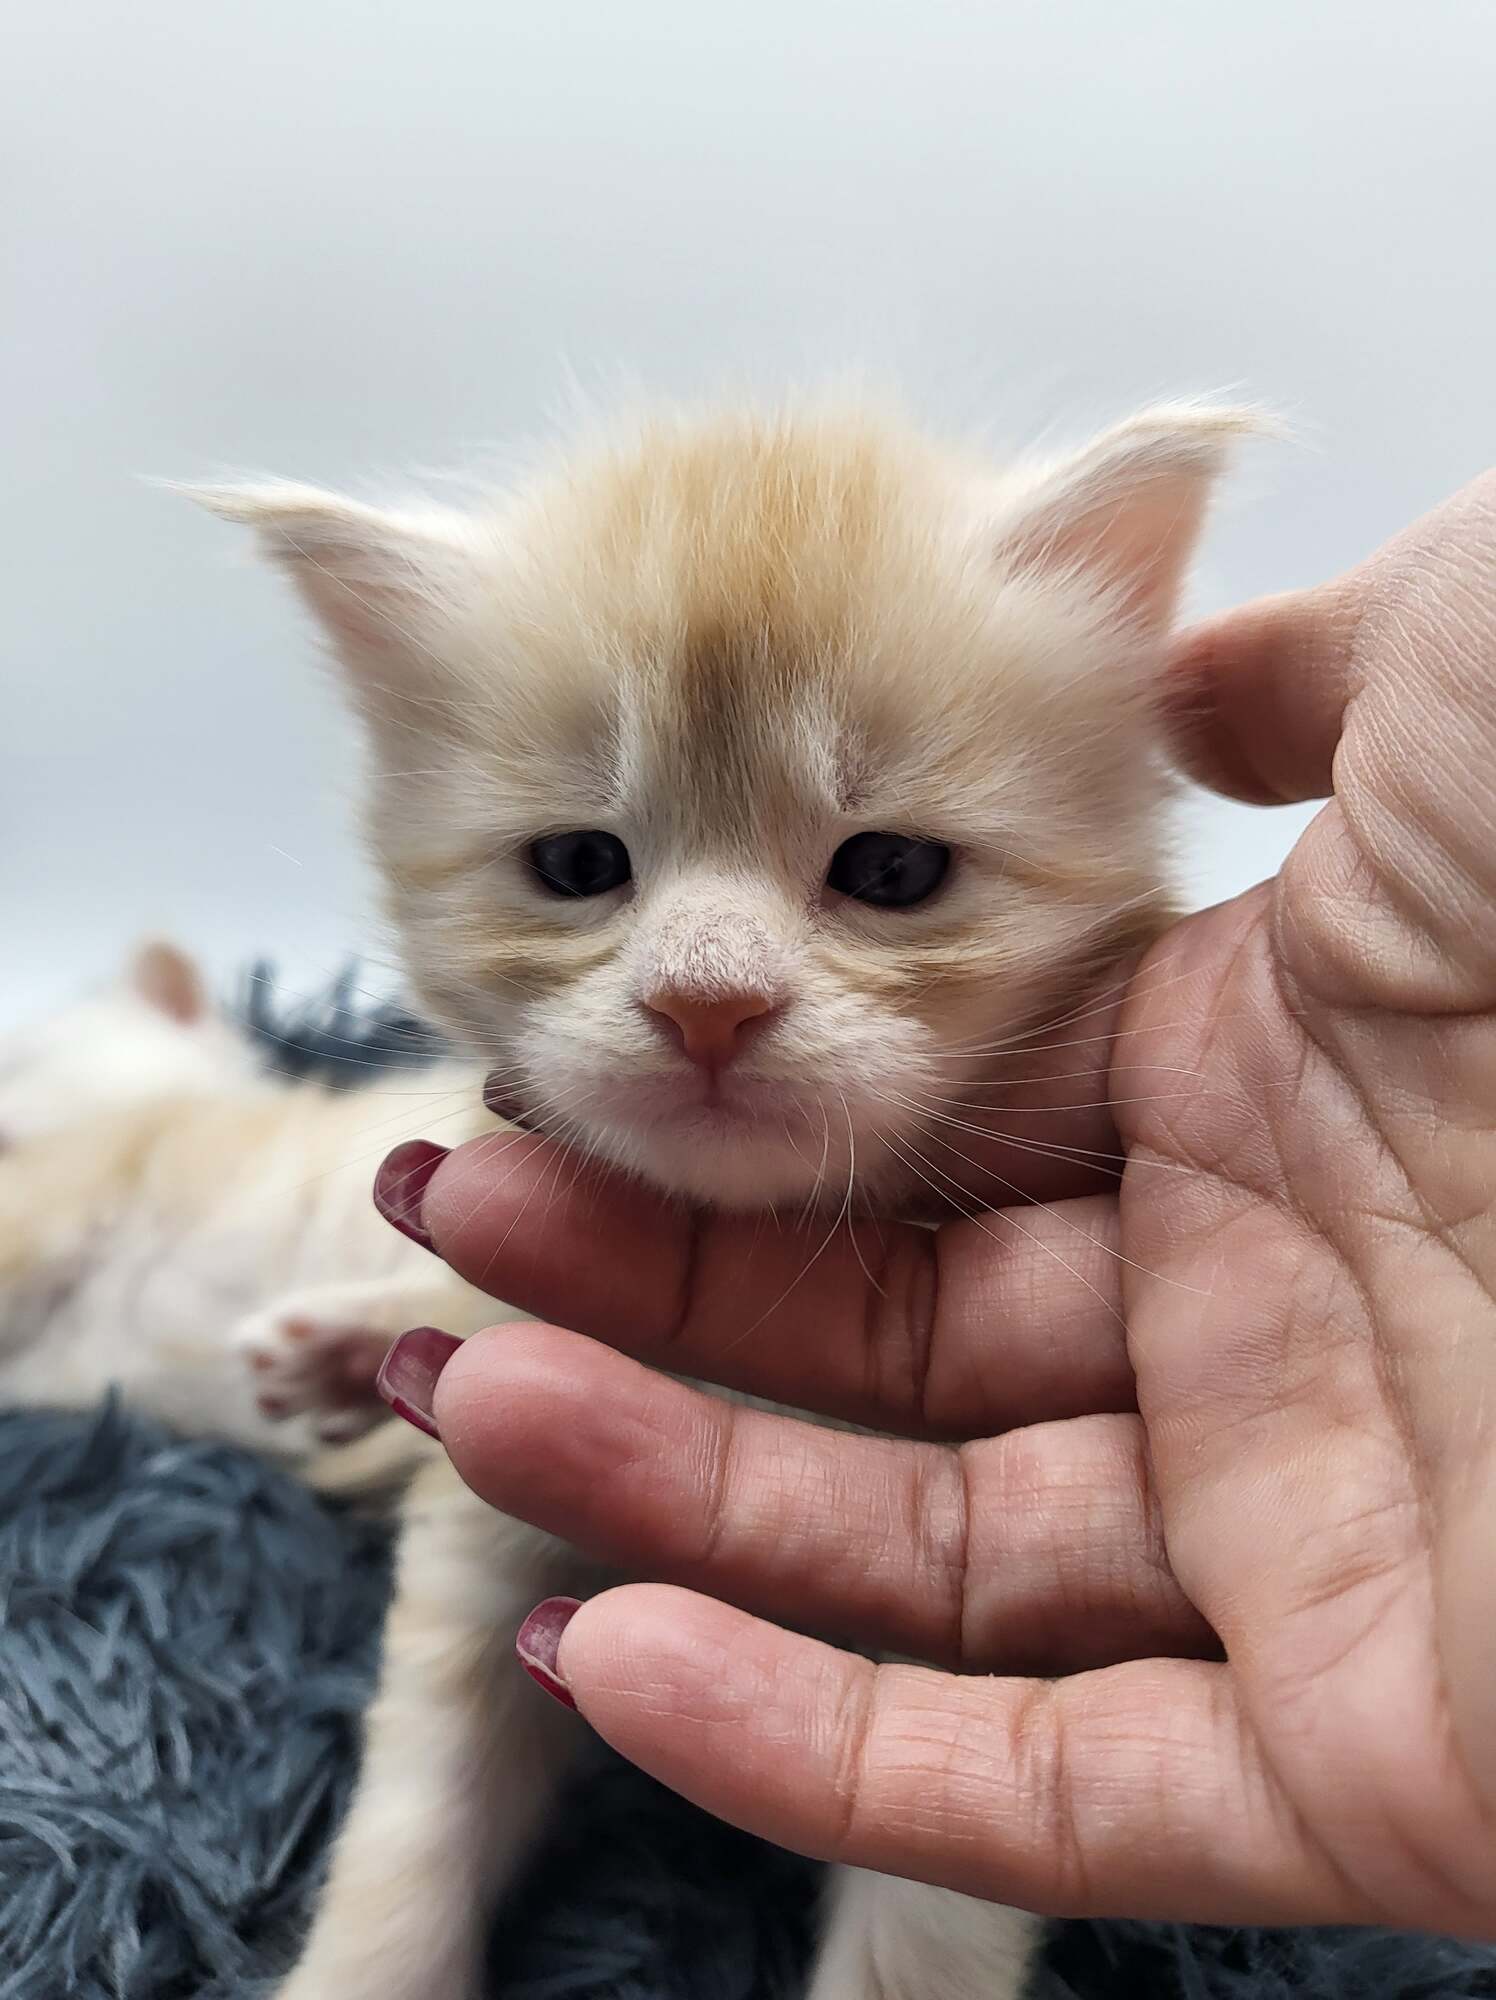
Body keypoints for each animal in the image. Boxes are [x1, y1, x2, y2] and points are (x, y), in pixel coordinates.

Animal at [199, 394, 1248, 2000]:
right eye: (578, 863)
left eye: (892, 868)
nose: (707, 1005)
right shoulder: (488, 1521)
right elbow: (417, 1813)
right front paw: (367, 1968)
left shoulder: (986, 1656)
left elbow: (922, 1923)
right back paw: (336, 1350)